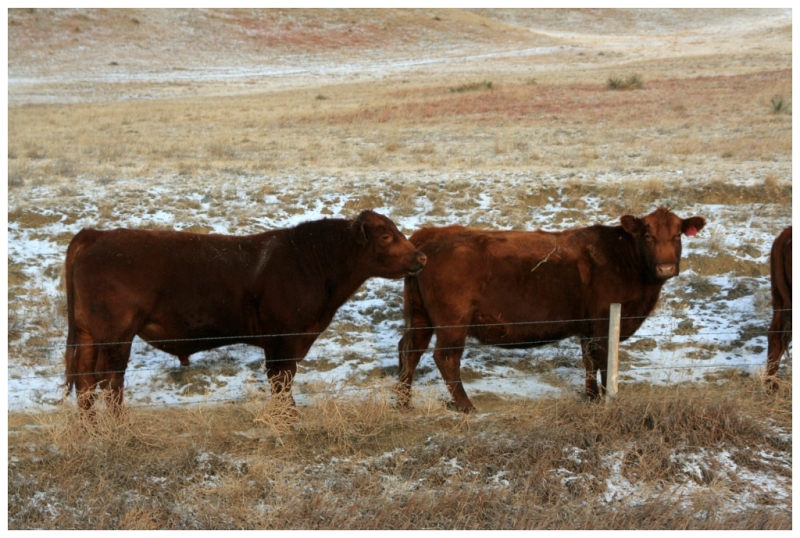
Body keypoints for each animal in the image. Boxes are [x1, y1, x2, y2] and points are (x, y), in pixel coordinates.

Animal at [64, 210, 426, 417]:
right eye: (386, 235)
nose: (421, 257)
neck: (307, 263)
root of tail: (97, 235)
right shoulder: (283, 341)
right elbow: (282, 382)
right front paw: (288, 420)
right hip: (115, 337)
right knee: (109, 381)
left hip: (87, 334)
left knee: (85, 382)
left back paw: (90, 429)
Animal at [397, 206, 706, 412]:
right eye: (647, 235)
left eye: (678, 236)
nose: (665, 267)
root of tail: (432, 235)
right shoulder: (604, 324)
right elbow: (604, 361)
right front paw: (606, 398)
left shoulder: (587, 327)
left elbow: (589, 361)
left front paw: (591, 397)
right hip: (453, 324)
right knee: (446, 358)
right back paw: (467, 406)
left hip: (421, 317)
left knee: (409, 350)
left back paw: (403, 402)